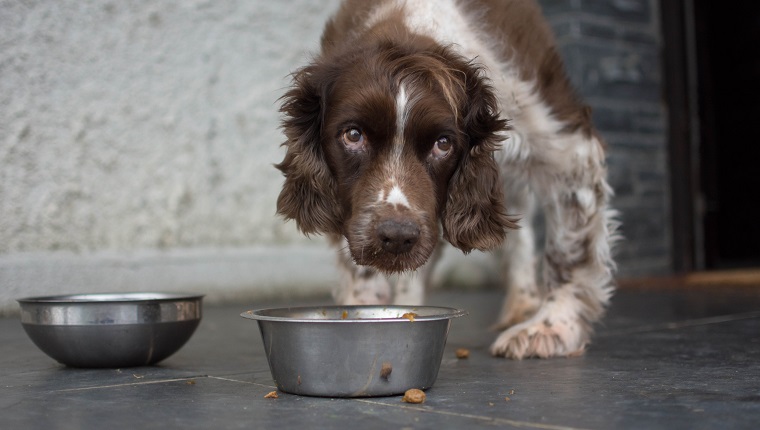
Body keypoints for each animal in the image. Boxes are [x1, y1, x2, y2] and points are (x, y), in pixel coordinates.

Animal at [274, 0, 616, 360]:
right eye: (353, 135)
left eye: (443, 143)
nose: (398, 236)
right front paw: (361, 308)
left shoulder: (567, 145)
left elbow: (569, 252)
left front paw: (551, 326)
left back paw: (524, 305)